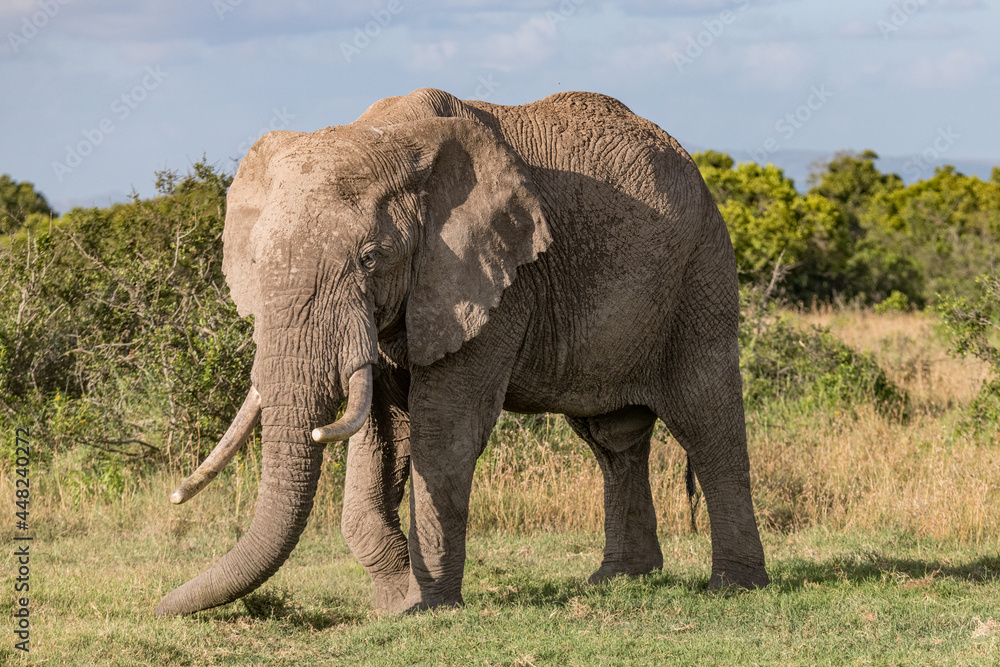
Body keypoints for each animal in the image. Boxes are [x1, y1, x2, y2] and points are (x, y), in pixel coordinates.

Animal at [154, 87, 769, 617]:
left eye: (371, 258)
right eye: (257, 262)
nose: (159, 608)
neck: (388, 136)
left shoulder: (497, 282)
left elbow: (443, 430)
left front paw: (428, 607)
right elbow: (383, 433)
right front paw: (397, 603)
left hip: (701, 272)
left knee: (706, 421)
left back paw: (735, 587)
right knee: (612, 438)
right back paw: (619, 580)